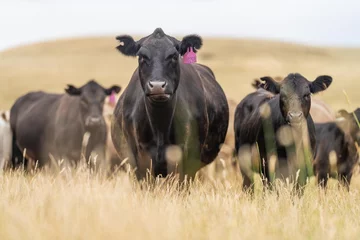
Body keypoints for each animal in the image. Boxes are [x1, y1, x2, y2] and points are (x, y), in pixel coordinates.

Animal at [110, 28, 228, 180]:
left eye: (173, 56)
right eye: (141, 57)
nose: (157, 86)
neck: (160, 127)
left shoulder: (186, 158)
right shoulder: (140, 159)